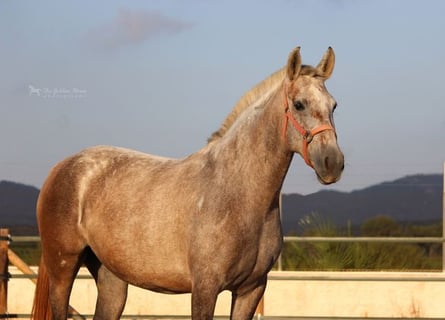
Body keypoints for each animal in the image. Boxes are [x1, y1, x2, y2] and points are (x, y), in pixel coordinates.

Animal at [31, 45, 344, 320]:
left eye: (334, 105)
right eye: (299, 104)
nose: (333, 163)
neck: (239, 194)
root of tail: (63, 167)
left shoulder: (251, 290)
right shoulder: (205, 289)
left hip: (112, 280)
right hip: (63, 268)